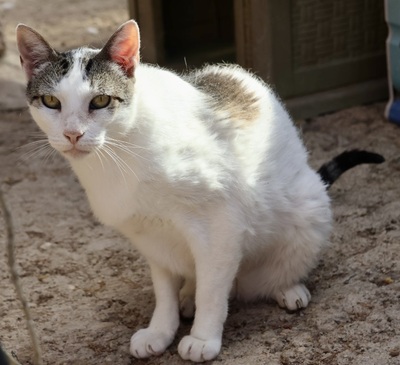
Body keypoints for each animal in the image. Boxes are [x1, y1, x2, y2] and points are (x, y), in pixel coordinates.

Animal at [16, 19, 384, 362]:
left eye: (101, 100)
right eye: (51, 101)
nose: (73, 134)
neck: (118, 158)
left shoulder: (221, 226)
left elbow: (212, 290)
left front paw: (204, 338)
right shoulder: (152, 238)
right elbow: (163, 291)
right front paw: (161, 330)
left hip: (309, 210)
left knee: (277, 268)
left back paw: (287, 288)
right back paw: (187, 297)